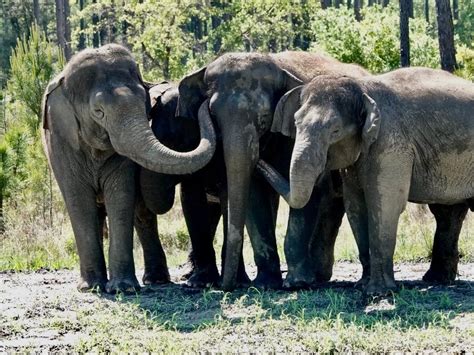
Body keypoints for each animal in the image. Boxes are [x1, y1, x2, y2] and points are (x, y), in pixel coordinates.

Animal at [41, 44, 217, 294]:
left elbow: (121, 196)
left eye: (145, 103)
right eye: (98, 112)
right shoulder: (61, 142)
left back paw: (155, 280)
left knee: (140, 215)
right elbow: (78, 200)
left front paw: (122, 289)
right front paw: (91, 288)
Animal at [178, 51, 370, 290]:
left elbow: (309, 193)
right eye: (213, 115)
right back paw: (318, 275)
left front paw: (297, 283)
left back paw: (316, 276)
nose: (226, 286)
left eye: (264, 117)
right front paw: (265, 284)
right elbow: (253, 195)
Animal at [260, 68, 474, 296]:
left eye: (335, 131)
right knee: (448, 212)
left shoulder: (390, 143)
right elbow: (355, 206)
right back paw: (437, 279)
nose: (259, 161)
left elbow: (384, 205)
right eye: (296, 124)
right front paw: (362, 286)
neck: (362, 88)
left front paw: (378, 292)